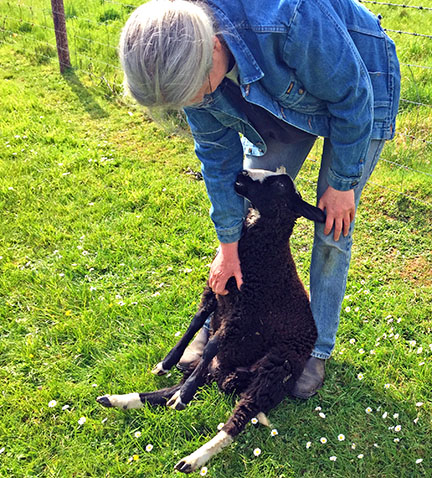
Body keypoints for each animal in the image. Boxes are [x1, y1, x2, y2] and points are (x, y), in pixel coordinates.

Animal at [98, 168, 326, 470]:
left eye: (279, 186)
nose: (242, 173)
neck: (263, 251)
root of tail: (232, 377)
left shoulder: (243, 315)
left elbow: (211, 345)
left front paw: (184, 395)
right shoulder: (214, 294)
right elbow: (194, 325)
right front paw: (166, 363)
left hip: (274, 370)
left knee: (238, 419)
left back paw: (192, 456)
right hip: (225, 367)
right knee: (166, 392)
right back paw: (118, 399)